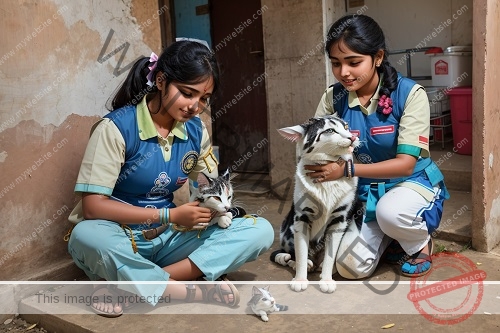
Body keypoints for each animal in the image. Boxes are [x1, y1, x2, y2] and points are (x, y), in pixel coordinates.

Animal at [272, 115, 362, 292]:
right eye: (330, 130)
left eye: (346, 127)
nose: (353, 137)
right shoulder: (301, 218)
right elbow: (301, 252)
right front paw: (300, 279)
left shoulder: (339, 220)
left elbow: (330, 255)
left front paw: (326, 280)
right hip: (287, 229)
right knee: (292, 254)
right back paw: (298, 262)